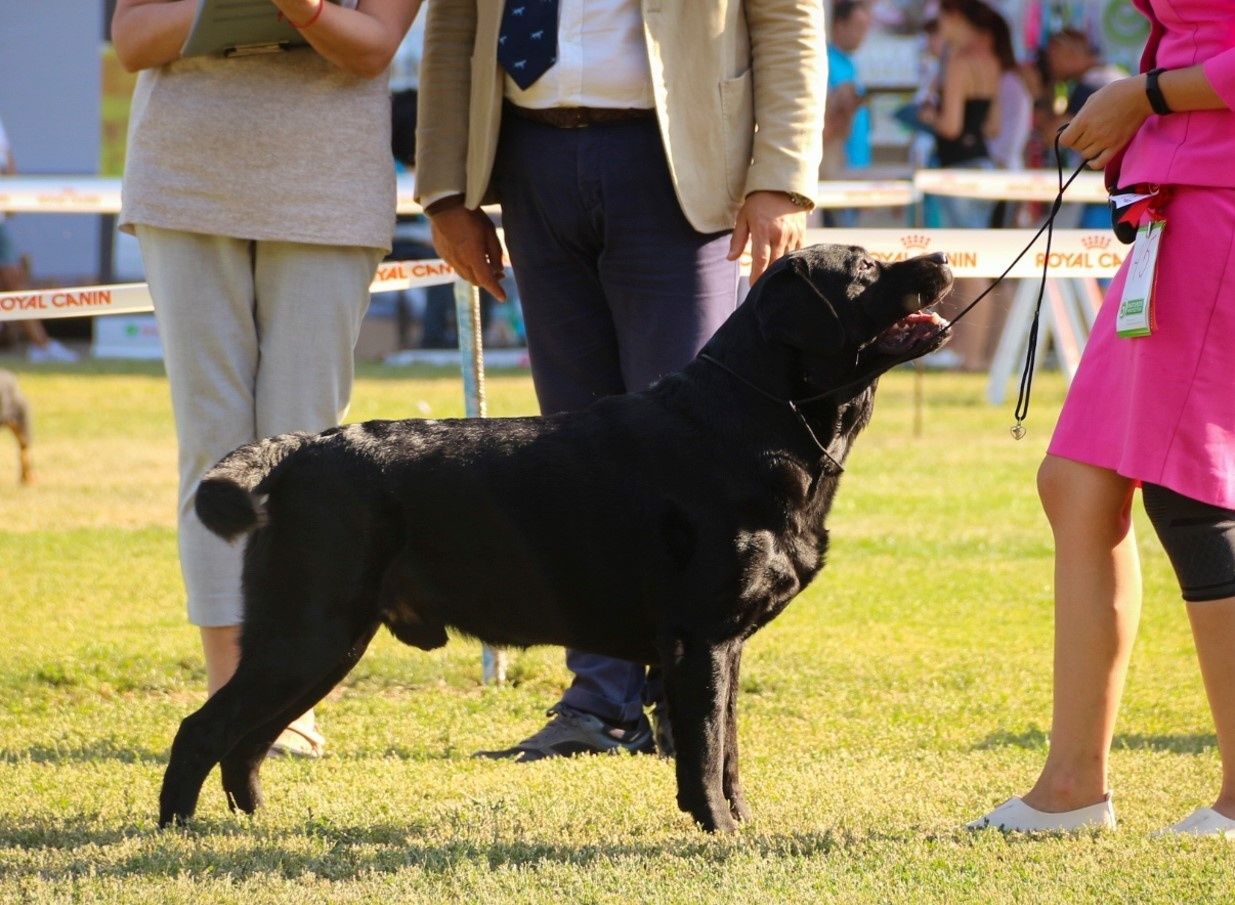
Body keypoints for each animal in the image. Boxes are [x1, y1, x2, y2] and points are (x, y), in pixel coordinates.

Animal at [159, 243, 948, 829]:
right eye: (866, 268)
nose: (940, 255)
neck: (757, 421)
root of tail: (298, 446)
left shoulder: (725, 643)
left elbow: (726, 747)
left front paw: (739, 822)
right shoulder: (703, 637)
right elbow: (703, 750)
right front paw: (720, 830)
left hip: (328, 641)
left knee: (247, 742)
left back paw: (252, 822)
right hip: (309, 632)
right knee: (204, 729)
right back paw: (178, 830)